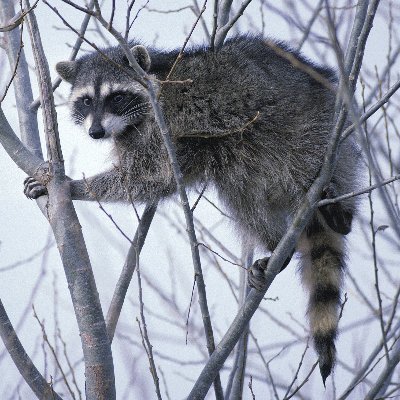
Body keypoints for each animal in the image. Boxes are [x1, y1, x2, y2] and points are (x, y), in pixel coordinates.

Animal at [25, 36, 362, 382]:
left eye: (116, 97)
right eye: (86, 101)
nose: (96, 132)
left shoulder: (167, 126)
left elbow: (150, 177)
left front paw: (74, 186)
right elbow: (153, 181)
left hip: (313, 132)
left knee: (285, 165)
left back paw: (338, 213)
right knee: (240, 189)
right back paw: (276, 243)